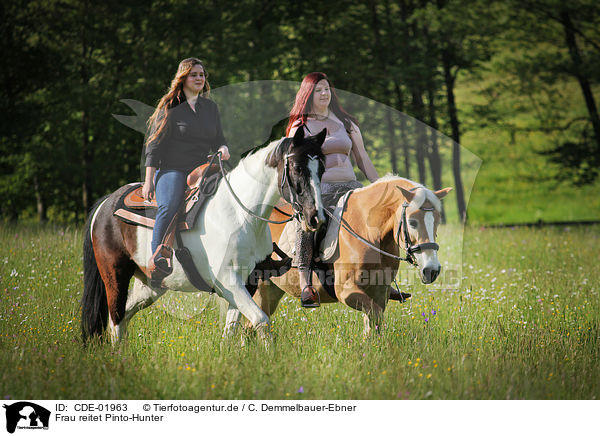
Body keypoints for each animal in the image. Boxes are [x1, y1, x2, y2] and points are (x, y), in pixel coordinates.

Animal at [81, 126, 326, 344]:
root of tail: (106, 202)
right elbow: (261, 320)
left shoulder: (247, 282)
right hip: (115, 275)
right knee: (115, 317)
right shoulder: (227, 280)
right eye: (297, 168)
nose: (315, 217)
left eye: (321, 169)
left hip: (151, 285)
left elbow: (231, 331)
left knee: (123, 316)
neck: (241, 215)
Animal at [230, 175, 450, 336]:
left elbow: (373, 325)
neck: (369, 232)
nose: (431, 270)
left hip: (271, 291)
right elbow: (376, 317)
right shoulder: (346, 291)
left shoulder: (379, 293)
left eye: (438, 220)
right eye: (412, 222)